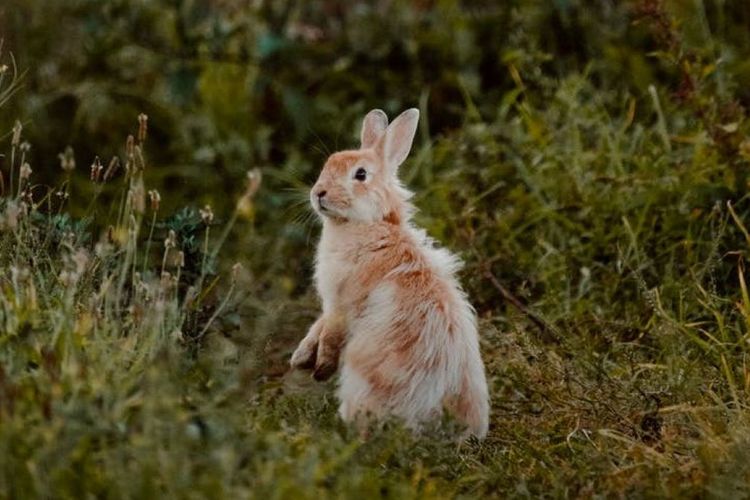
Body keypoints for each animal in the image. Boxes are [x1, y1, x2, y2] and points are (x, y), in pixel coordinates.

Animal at [290, 106, 490, 438]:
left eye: (360, 174)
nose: (318, 193)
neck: (370, 225)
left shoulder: (341, 304)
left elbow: (330, 334)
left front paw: (320, 369)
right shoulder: (331, 304)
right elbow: (317, 327)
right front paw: (300, 359)